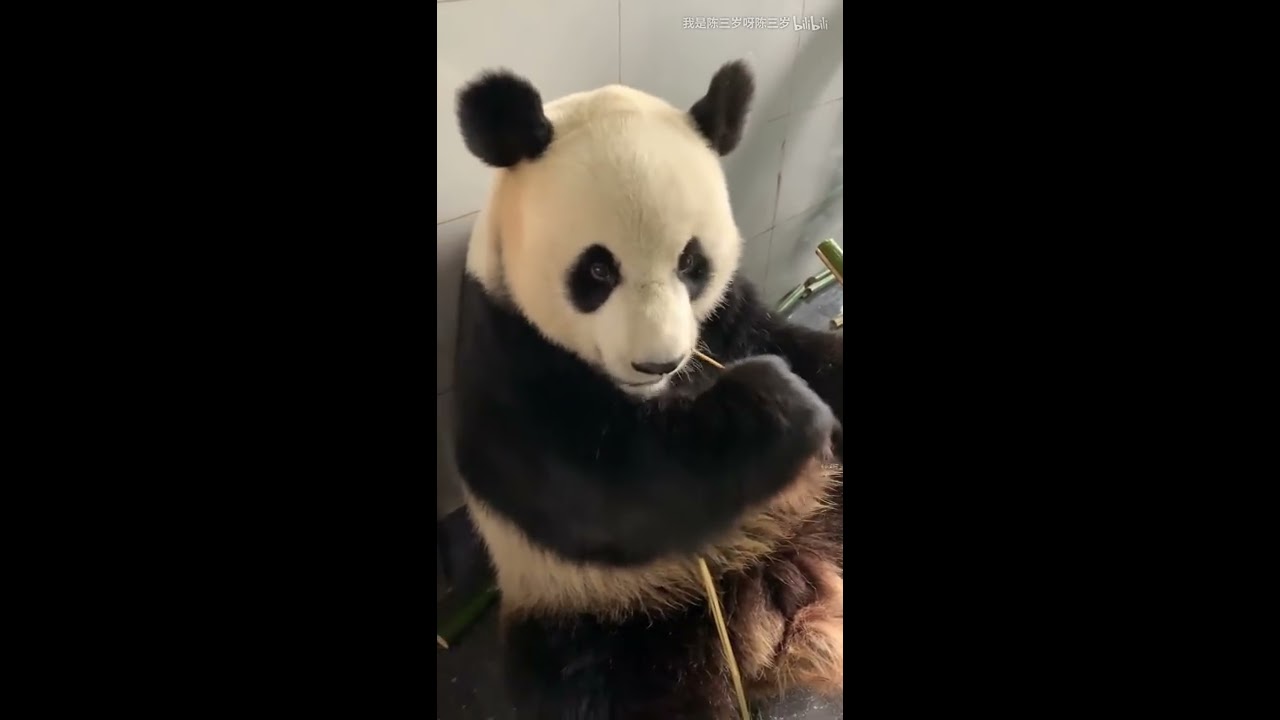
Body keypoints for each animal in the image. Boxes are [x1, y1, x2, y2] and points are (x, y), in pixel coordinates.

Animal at [451, 60, 844, 719]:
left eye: (691, 263)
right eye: (597, 270)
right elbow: (605, 489)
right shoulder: (504, 349)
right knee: (595, 685)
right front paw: (782, 403)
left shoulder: (723, 319)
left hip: (821, 508)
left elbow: (788, 342)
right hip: (609, 614)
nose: (657, 361)